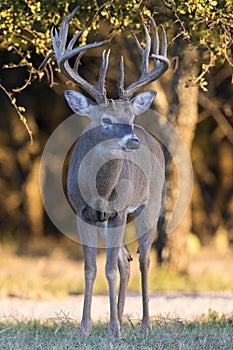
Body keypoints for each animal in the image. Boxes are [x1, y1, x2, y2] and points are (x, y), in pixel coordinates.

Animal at [40, 6, 169, 338]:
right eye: (106, 120)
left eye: (131, 118)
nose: (133, 139)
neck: (99, 192)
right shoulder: (82, 212)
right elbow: (90, 268)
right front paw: (85, 327)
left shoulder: (120, 210)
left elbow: (109, 268)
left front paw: (113, 328)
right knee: (126, 259)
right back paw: (122, 317)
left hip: (150, 205)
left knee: (144, 259)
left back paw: (144, 323)